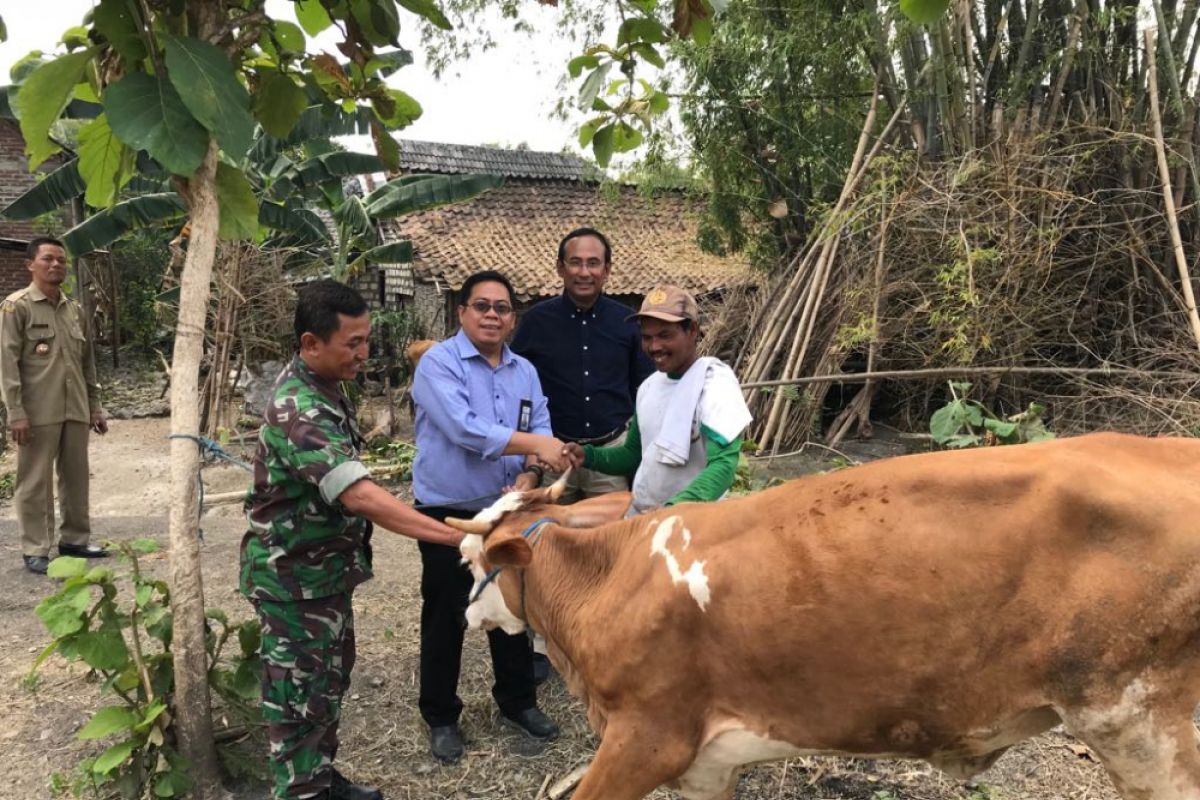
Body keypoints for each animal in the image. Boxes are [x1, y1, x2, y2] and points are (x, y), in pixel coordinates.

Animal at [446, 434, 1200, 800]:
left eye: (469, 557)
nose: (463, 615)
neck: (611, 578)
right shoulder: (711, 764)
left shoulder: (648, 738)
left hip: (1135, 723)